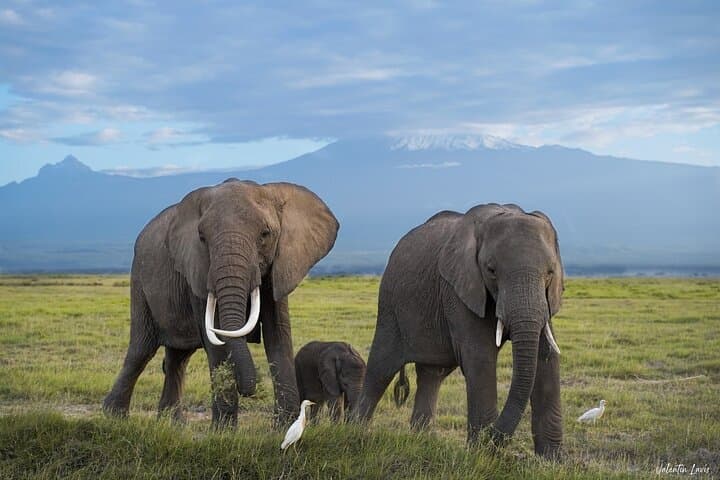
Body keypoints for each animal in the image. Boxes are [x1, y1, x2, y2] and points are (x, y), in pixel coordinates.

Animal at [103, 179, 339, 428]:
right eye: (202, 238)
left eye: (265, 234)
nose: (250, 390)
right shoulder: (196, 269)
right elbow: (215, 339)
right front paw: (223, 430)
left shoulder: (281, 265)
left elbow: (279, 334)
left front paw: (285, 427)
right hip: (139, 280)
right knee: (141, 350)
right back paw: (114, 415)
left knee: (177, 358)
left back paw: (173, 423)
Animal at [355, 203, 563, 458]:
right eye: (491, 270)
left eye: (550, 272)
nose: (491, 439)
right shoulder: (459, 290)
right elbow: (480, 358)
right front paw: (483, 456)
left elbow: (546, 359)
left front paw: (552, 460)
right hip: (390, 307)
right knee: (381, 370)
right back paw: (353, 432)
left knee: (431, 374)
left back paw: (421, 442)